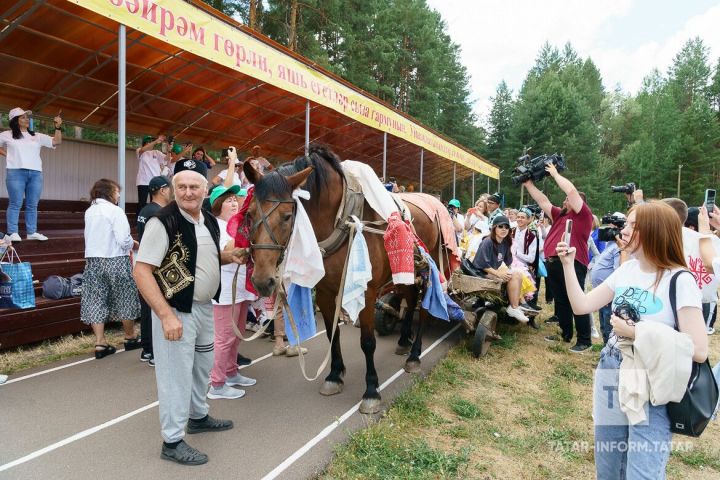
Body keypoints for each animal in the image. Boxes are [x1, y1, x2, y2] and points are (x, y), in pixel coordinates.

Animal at [242, 144, 450, 414]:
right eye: (249, 214)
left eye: (287, 216)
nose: (261, 280)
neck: (340, 220)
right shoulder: (324, 291)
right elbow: (333, 335)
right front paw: (334, 376)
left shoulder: (367, 292)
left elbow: (368, 342)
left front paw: (371, 390)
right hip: (404, 271)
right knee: (410, 297)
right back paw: (404, 340)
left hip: (429, 267)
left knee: (424, 308)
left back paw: (414, 356)